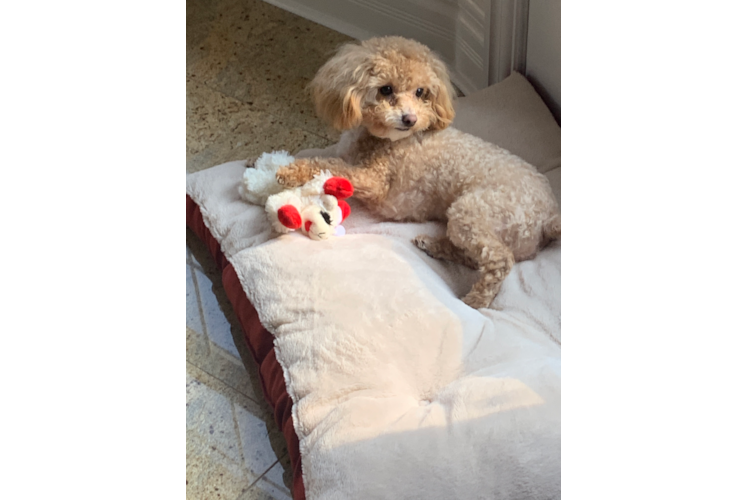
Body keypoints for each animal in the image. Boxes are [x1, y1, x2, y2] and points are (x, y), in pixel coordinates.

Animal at [276, 36, 560, 308]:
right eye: (386, 89)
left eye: (421, 92)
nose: (409, 119)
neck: (382, 138)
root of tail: (548, 218)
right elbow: (330, 160)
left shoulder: (375, 181)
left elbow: (328, 165)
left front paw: (289, 171)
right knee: (474, 256)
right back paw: (433, 245)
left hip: (471, 211)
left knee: (499, 260)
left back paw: (475, 301)